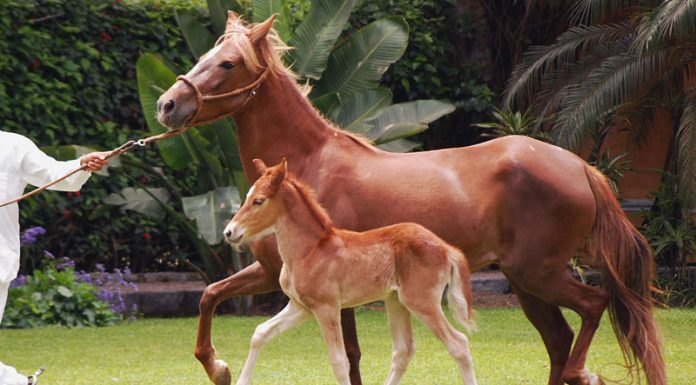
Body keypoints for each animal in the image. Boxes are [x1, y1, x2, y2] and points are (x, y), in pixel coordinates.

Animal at [226, 158, 476, 382]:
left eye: (259, 201)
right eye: (246, 198)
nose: (229, 232)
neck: (309, 251)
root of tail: (445, 247)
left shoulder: (326, 307)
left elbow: (339, 362)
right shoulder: (300, 307)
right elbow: (260, 333)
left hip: (421, 301)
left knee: (459, 344)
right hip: (396, 301)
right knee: (403, 351)